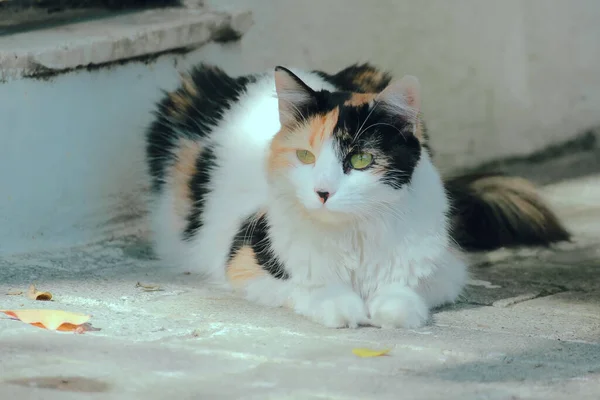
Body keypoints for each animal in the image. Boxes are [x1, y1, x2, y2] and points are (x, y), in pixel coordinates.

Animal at [144, 63, 568, 328]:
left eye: (361, 160)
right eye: (305, 156)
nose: (322, 191)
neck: (353, 236)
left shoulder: (446, 267)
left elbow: (403, 288)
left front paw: (393, 311)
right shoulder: (247, 261)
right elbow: (310, 286)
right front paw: (343, 306)